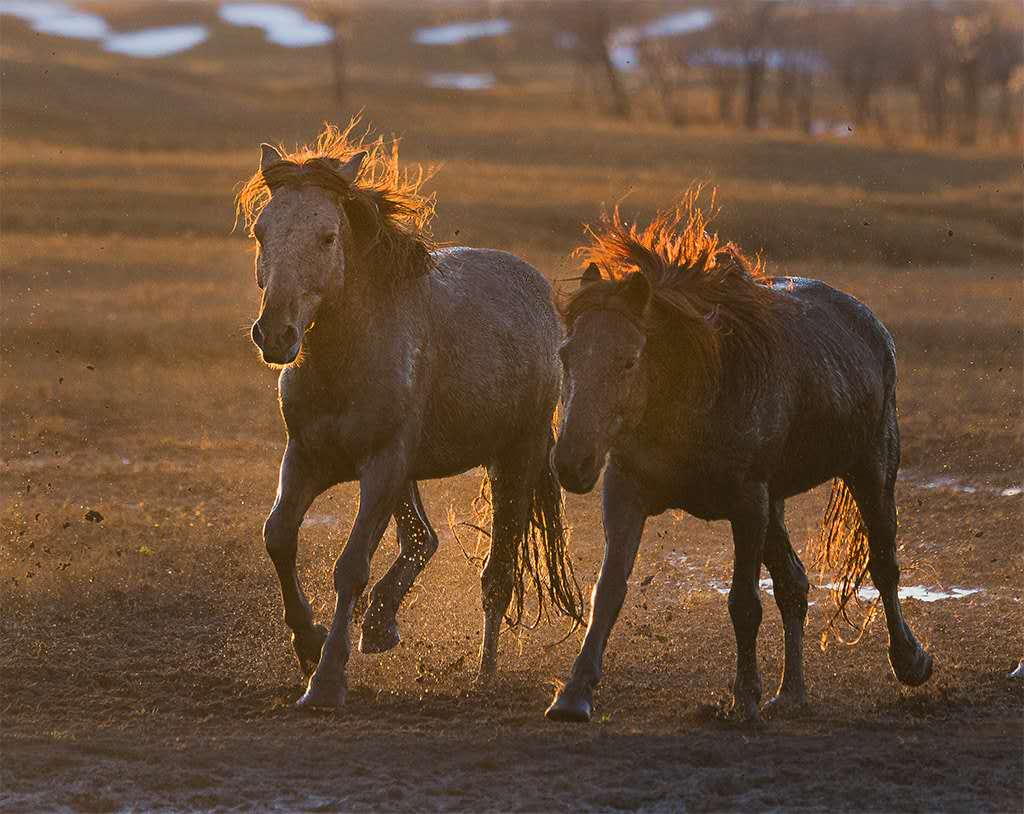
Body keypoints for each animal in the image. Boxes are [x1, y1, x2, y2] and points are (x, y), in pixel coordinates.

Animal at [234, 124, 581, 708]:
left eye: (328, 236)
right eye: (261, 232)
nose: (276, 334)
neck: (345, 359)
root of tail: (536, 289)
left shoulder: (382, 464)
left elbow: (351, 566)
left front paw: (326, 680)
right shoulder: (306, 456)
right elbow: (278, 536)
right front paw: (307, 645)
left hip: (515, 458)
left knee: (497, 574)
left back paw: (484, 672)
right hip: (414, 471)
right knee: (423, 538)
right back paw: (380, 623)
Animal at [548, 194, 933, 720]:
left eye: (627, 360)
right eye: (566, 356)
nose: (572, 461)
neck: (696, 392)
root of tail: (872, 327)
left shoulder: (748, 504)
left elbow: (744, 603)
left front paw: (745, 697)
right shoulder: (626, 488)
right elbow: (608, 589)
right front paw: (574, 692)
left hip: (871, 471)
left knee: (883, 565)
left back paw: (910, 660)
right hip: (778, 503)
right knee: (794, 584)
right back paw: (791, 692)